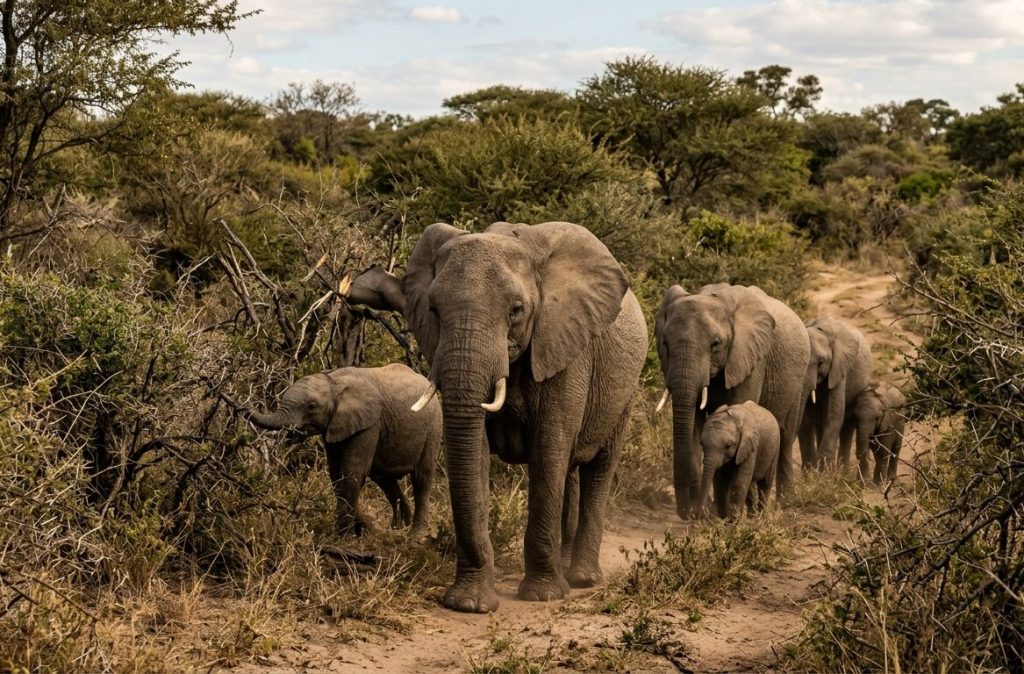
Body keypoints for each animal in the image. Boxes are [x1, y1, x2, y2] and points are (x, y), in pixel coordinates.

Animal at [248, 364, 441, 538]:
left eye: (311, 406)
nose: (244, 408)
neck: (334, 381)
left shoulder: (370, 424)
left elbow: (351, 471)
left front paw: (344, 538)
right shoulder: (335, 426)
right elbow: (336, 474)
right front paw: (360, 530)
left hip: (433, 427)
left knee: (421, 477)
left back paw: (416, 536)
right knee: (383, 478)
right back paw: (399, 527)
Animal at [347, 221, 647, 613]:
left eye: (516, 310)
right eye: (433, 309)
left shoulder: (565, 349)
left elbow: (549, 451)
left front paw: (542, 596)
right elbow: (476, 454)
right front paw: (469, 603)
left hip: (624, 390)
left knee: (598, 467)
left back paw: (581, 578)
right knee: (569, 471)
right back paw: (566, 568)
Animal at [654, 283, 810, 519]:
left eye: (715, 345)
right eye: (665, 343)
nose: (688, 512)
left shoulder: (751, 357)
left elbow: (741, 405)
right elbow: (694, 423)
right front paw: (704, 510)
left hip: (800, 380)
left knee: (786, 436)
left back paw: (784, 502)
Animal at [797, 317, 873, 470]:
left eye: (821, 362)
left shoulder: (840, 366)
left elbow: (835, 414)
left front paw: (822, 471)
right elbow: (806, 418)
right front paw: (810, 472)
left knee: (847, 427)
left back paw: (842, 472)